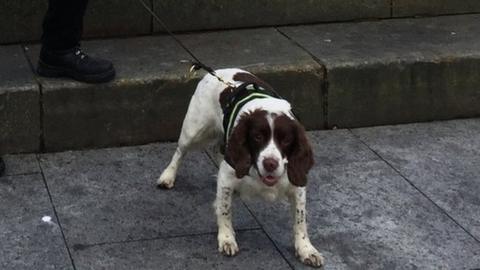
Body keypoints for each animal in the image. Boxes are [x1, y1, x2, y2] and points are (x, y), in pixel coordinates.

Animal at [157, 68, 322, 266]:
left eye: (286, 140)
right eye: (257, 137)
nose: (270, 163)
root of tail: (215, 71)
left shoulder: (297, 184)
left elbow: (300, 219)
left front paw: (306, 249)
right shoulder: (227, 177)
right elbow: (225, 210)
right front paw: (227, 239)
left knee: (216, 149)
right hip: (194, 131)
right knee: (180, 152)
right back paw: (168, 176)